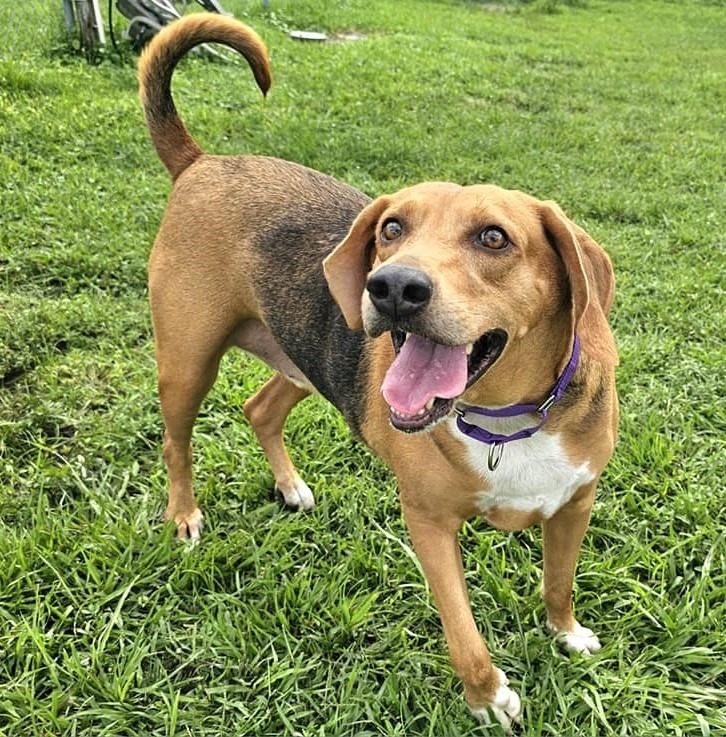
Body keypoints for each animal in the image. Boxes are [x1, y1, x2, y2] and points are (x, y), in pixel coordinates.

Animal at [138, 12, 620, 732]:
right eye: (392, 227)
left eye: (495, 237)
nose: (391, 286)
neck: (505, 421)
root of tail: (203, 163)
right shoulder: (429, 523)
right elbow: (464, 634)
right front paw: (489, 696)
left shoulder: (575, 502)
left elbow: (557, 583)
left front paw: (566, 634)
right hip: (187, 362)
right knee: (178, 442)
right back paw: (185, 516)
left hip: (299, 362)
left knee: (259, 408)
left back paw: (290, 486)